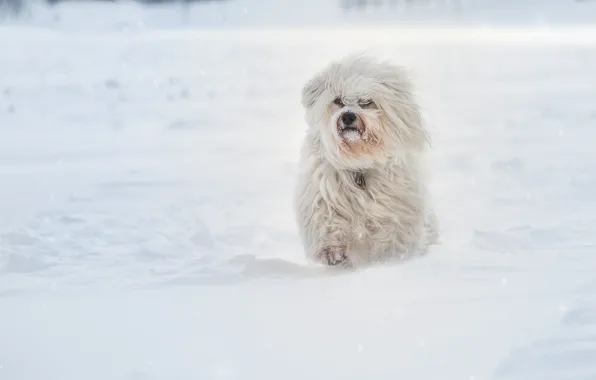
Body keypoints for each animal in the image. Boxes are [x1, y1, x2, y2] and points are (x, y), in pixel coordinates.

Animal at [294, 54, 438, 268]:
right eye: (338, 101)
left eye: (367, 102)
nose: (348, 116)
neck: (359, 164)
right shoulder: (322, 193)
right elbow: (326, 222)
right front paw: (332, 251)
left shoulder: (397, 209)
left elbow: (393, 235)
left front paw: (387, 260)